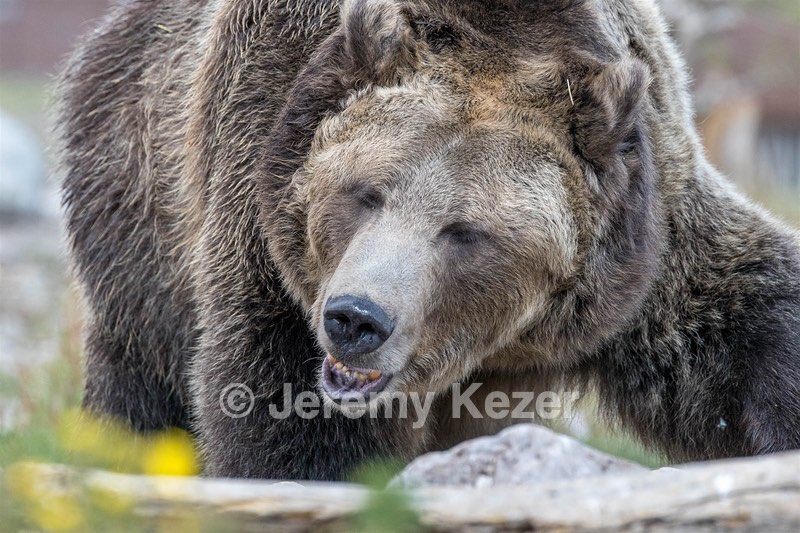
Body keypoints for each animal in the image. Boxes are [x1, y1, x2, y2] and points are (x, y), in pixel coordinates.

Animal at [56, 0, 800, 480]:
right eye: (365, 192)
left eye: (465, 231)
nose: (356, 319)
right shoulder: (264, 230)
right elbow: (285, 417)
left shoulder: (644, 250)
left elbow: (745, 328)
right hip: (140, 203)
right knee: (142, 382)